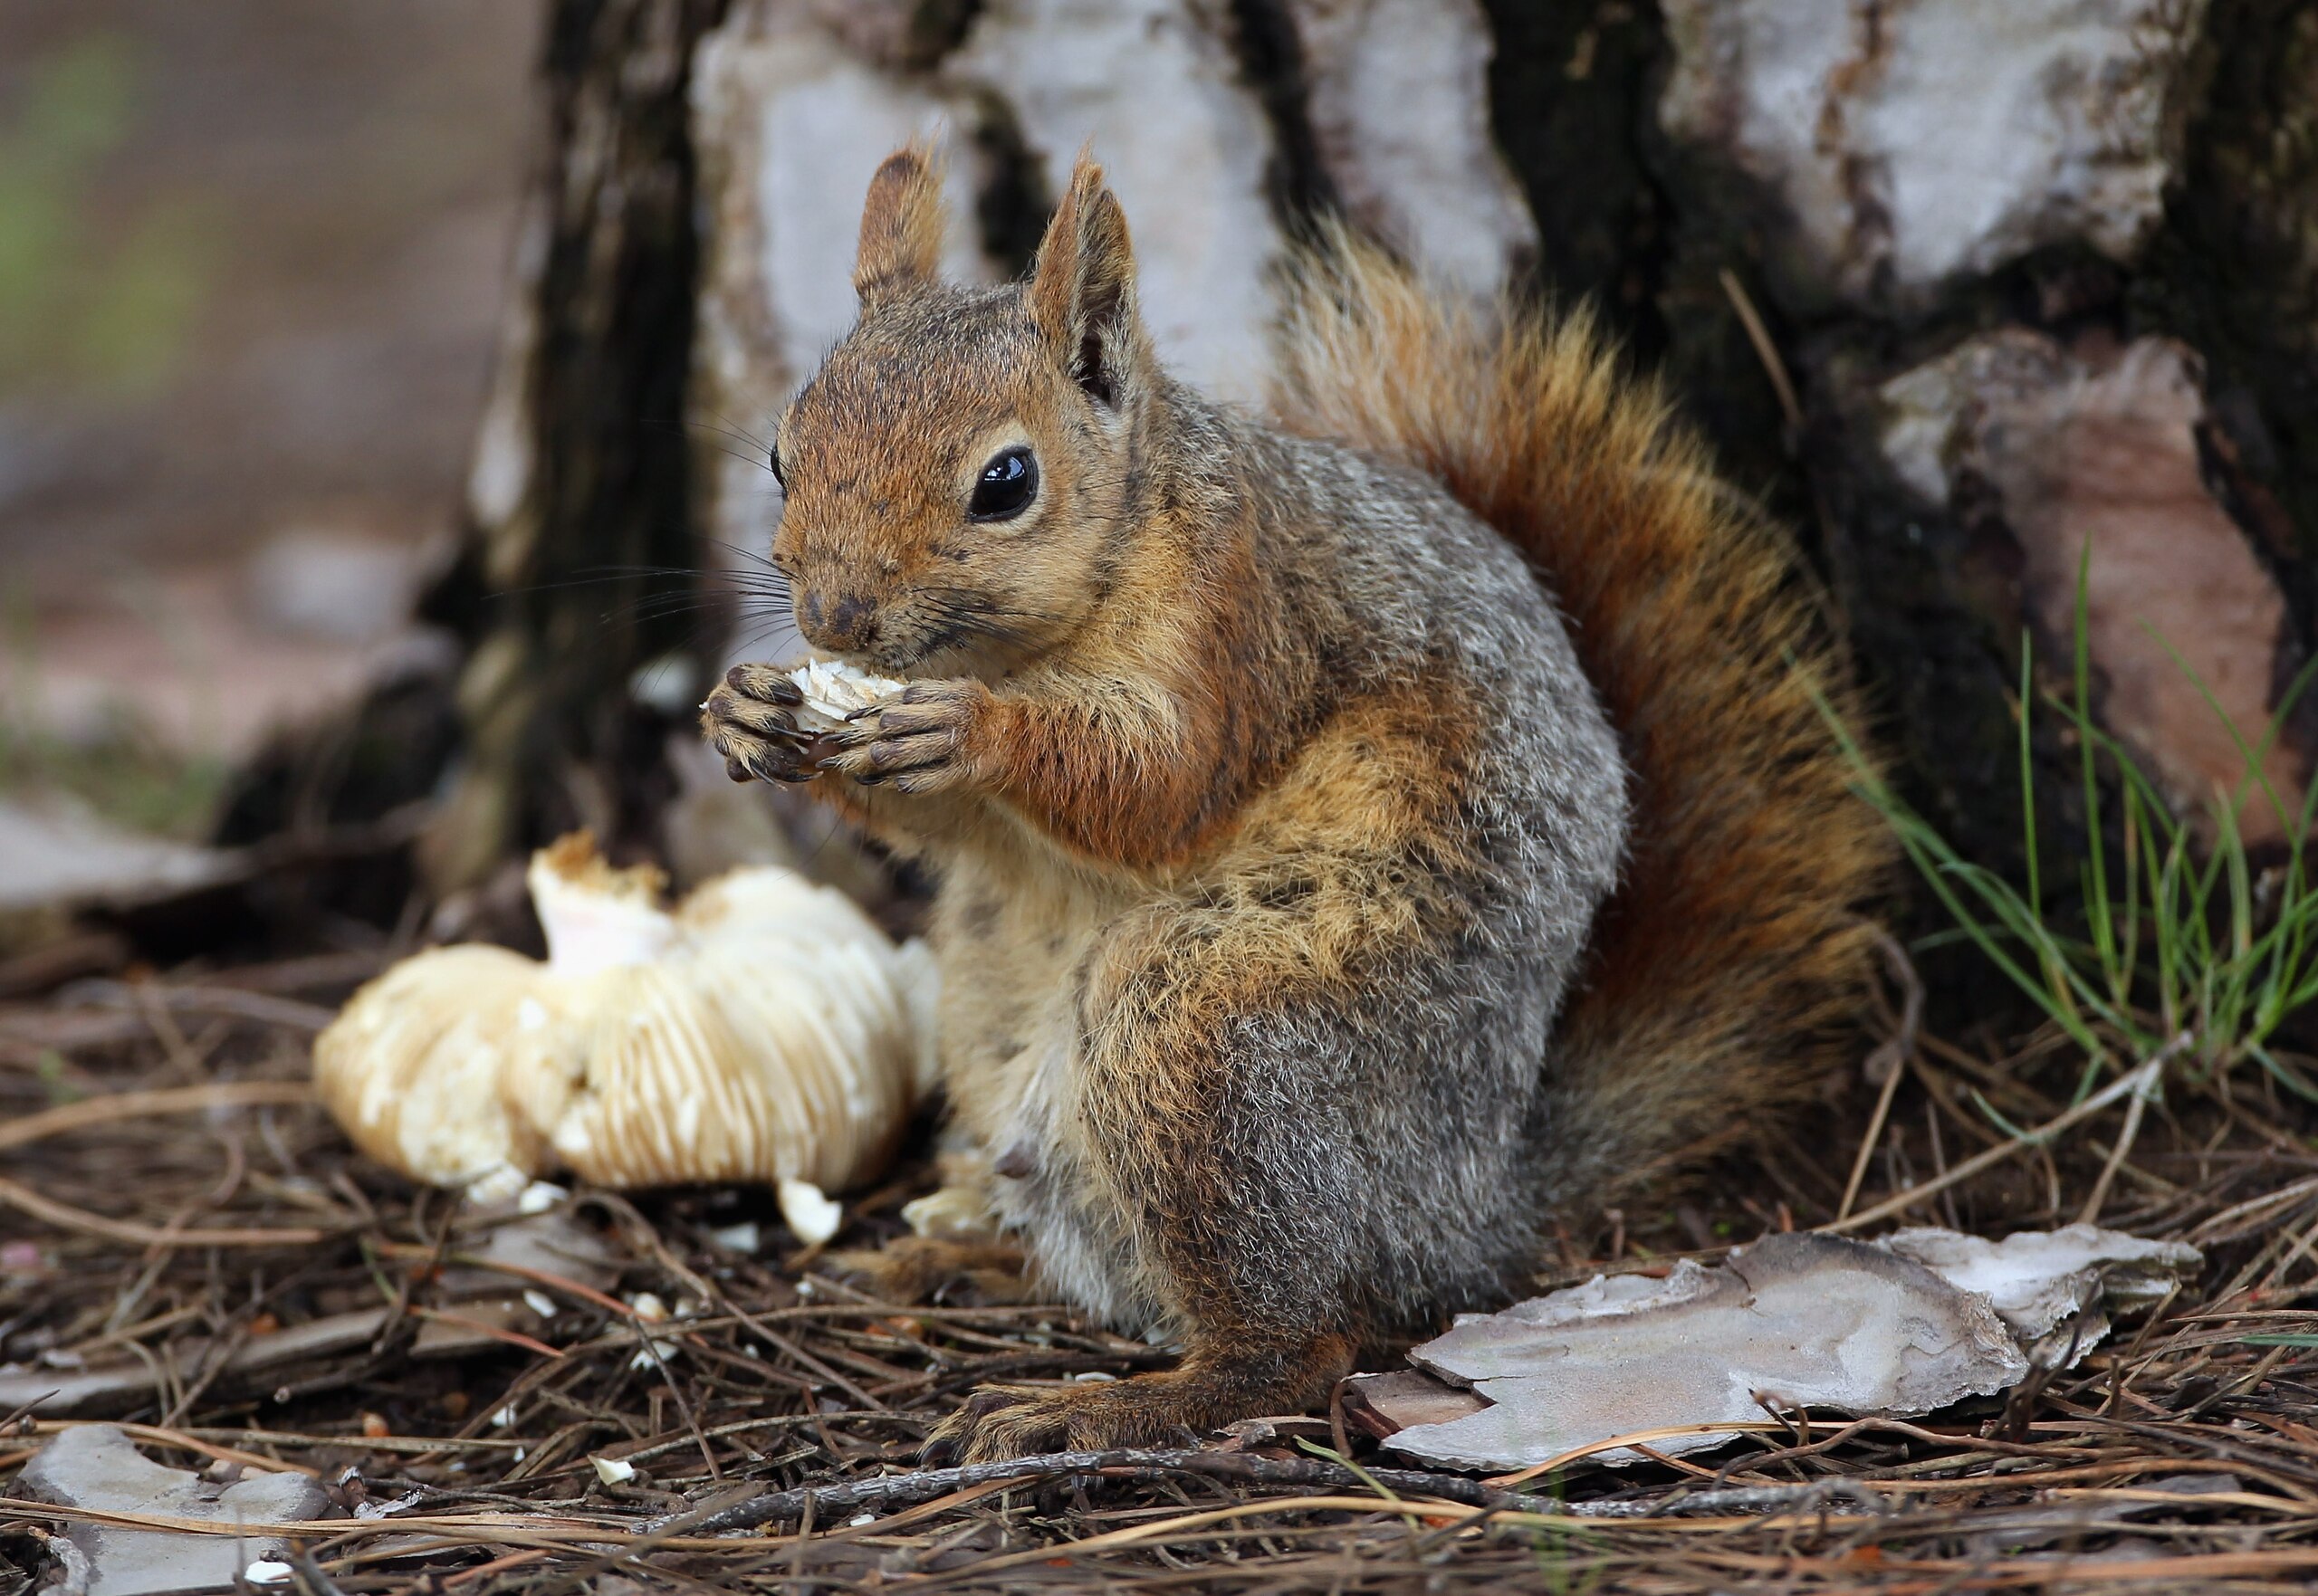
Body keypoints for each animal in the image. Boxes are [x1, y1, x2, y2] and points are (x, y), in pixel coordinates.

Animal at [702, 143, 1889, 1464]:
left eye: (1005, 482)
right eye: (781, 456)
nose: (834, 618)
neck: (1033, 636)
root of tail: (1465, 1200)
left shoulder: (1241, 623)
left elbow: (1161, 785)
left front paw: (974, 732)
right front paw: (747, 711)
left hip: (1217, 1024)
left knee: (1297, 1341)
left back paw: (1121, 1400)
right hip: (993, 1016)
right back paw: (953, 1260)